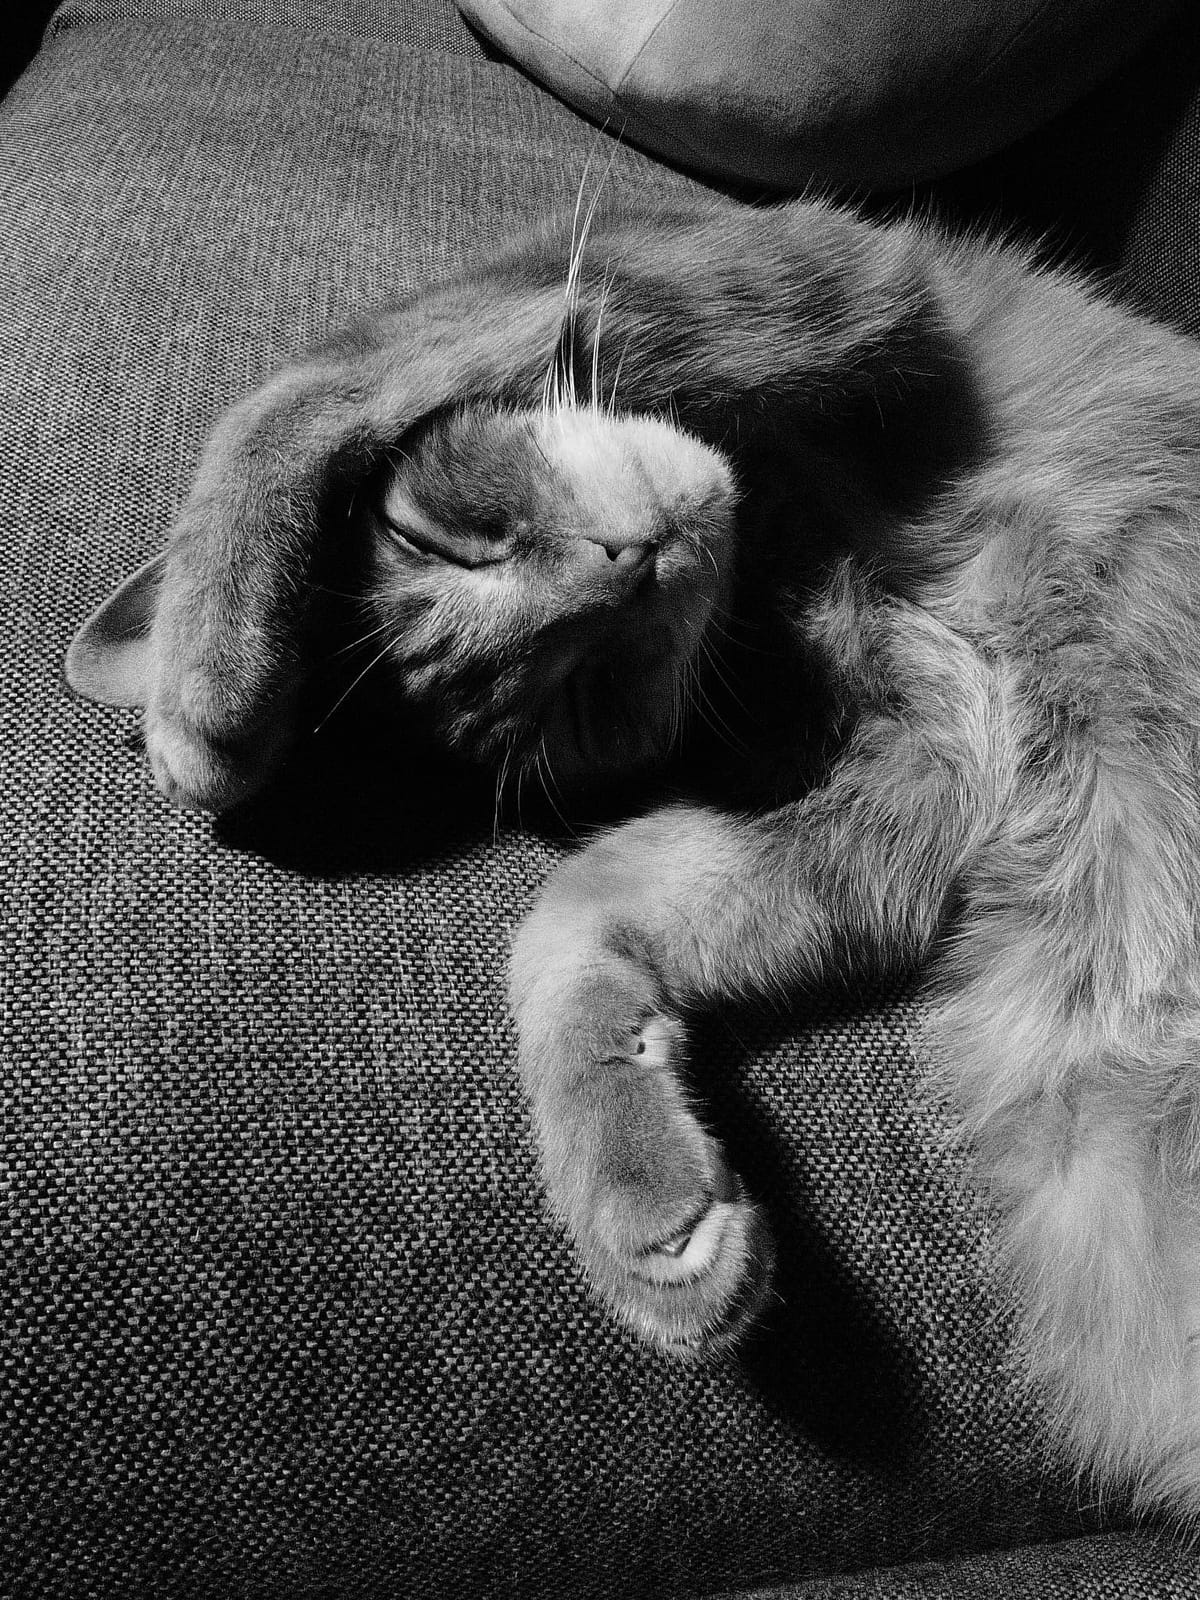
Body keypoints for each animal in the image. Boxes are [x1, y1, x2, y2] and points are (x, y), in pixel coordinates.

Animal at [63, 187, 1200, 1523]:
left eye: (448, 537)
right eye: (584, 692)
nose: (631, 566)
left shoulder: (818, 265)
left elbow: (316, 377)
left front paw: (209, 669)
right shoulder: (932, 770)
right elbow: (579, 904)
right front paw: (639, 1192)